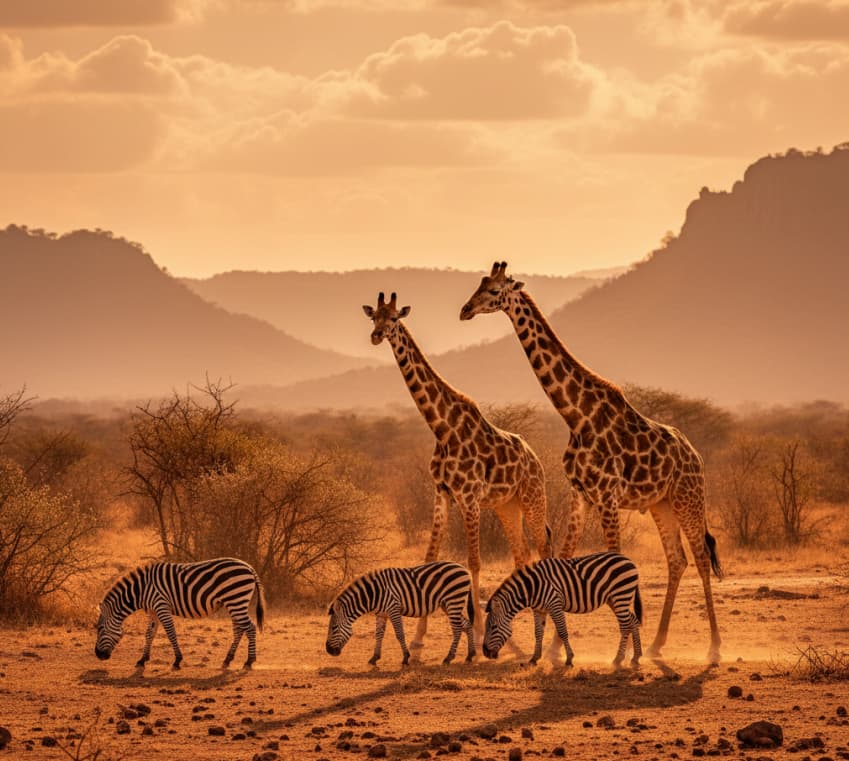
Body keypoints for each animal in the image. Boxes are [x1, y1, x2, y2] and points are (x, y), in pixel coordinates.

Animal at [95, 557, 265, 670]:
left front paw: (177, 660)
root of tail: (249, 567)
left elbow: (171, 633)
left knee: (249, 627)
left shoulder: (161, 606)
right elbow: (149, 634)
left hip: (236, 600)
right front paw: (142, 660)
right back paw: (227, 660)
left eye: (99, 629)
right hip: (234, 603)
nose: (98, 655)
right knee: (239, 629)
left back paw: (249, 661)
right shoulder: (153, 611)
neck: (141, 591)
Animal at [325, 561, 475, 666]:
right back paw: (470, 655)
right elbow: (378, 635)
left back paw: (448, 658)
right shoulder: (381, 614)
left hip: (454, 600)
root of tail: (465, 569)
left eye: (333, 628)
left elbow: (399, 634)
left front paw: (405, 658)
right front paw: (374, 658)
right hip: (448, 604)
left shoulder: (393, 609)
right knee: (467, 624)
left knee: (457, 629)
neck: (373, 594)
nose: (328, 651)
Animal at [363, 291, 551, 649]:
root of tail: (536, 457)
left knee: (544, 549)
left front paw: (475, 634)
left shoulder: (469, 497)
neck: (443, 429)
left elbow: (474, 562)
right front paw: (419, 636)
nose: (376, 336)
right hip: (507, 505)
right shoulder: (442, 493)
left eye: (394, 318)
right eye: (373, 317)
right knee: (521, 554)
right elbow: (429, 558)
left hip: (533, 498)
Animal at [483, 552, 643, 668]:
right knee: (633, 621)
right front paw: (534, 658)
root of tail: (628, 560)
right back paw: (635, 658)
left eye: (493, 627)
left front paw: (569, 659)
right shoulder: (539, 609)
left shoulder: (555, 604)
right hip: (614, 599)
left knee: (625, 626)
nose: (484, 652)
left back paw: (618, 659)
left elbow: (562, 631)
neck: (532, 588)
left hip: (620, 595)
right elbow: (538, 633)